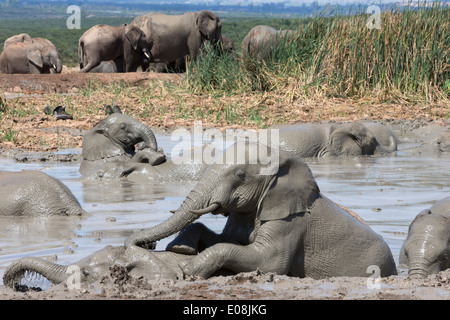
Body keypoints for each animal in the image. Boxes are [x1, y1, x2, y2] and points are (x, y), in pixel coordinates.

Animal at [124, 142, 398, 280]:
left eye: (240, 175)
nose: (146, 245)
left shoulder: (289, 221)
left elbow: (269, 262)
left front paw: (188, 269)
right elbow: (225, 240)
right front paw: (181, 249)